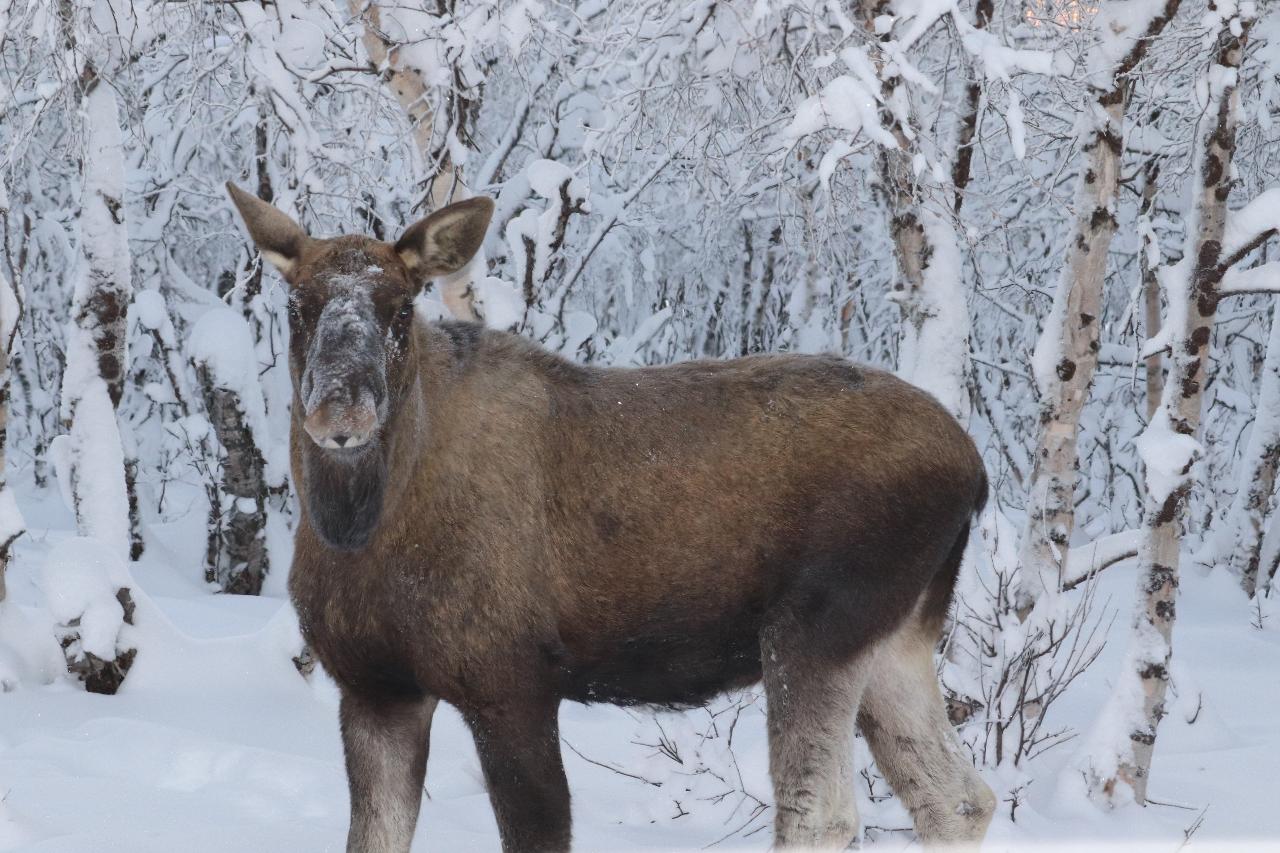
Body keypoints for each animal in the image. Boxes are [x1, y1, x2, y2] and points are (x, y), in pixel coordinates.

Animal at [225, 183, 993, 845]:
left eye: (401, 308)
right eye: (298, 304)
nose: (340, 412)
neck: (358, 528)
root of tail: (975, 471)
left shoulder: (510, 682)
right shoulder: (375, 689)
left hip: (817, 627)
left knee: (825, 812)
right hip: (896, 638)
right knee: (958, 797)